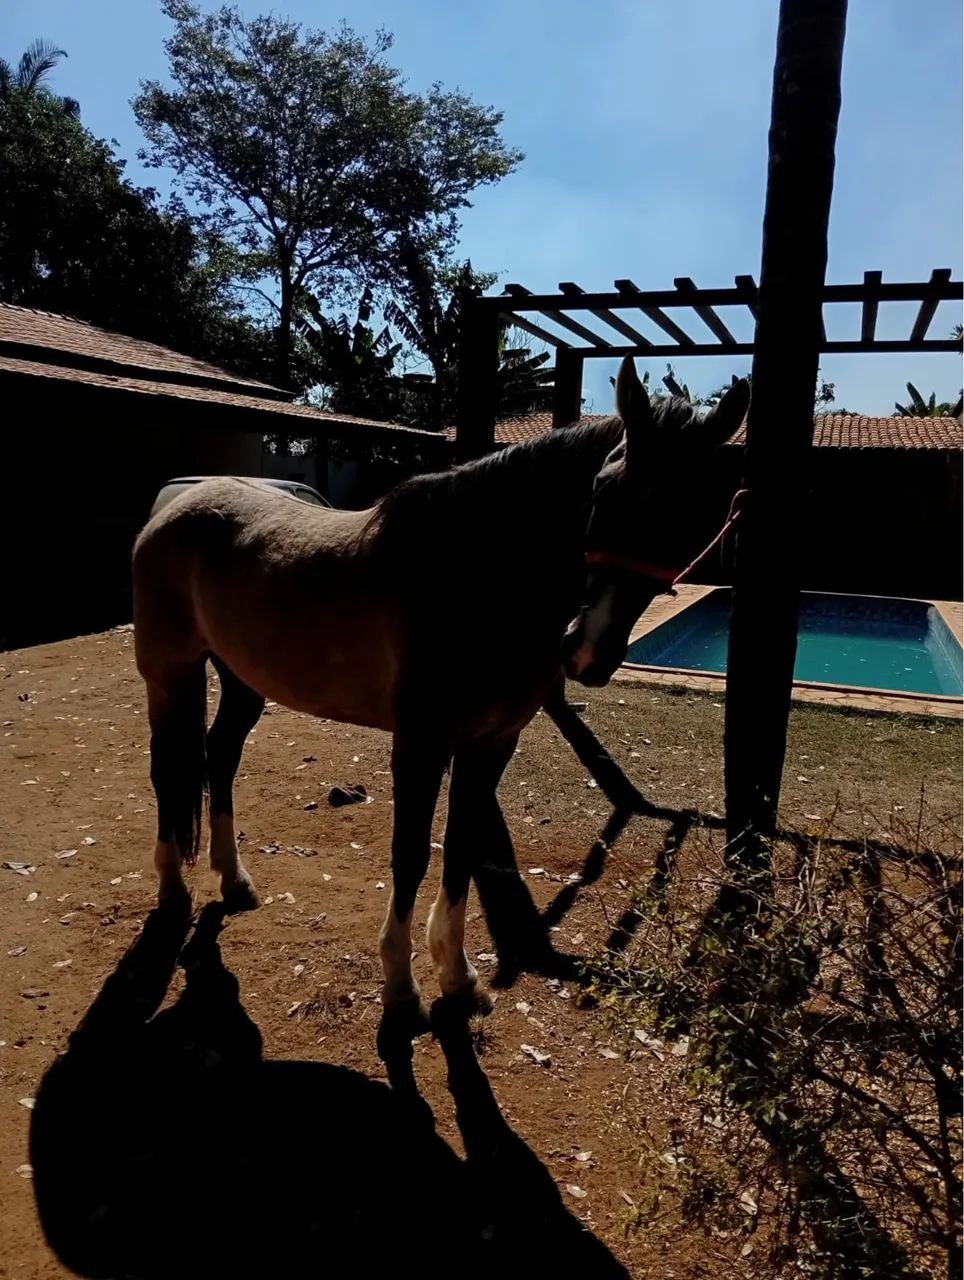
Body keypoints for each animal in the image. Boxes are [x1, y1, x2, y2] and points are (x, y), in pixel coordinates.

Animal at [132, 357, 749, 1029]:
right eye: (602, 491)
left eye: (694, 514)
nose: (588, 652)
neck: (472, 575)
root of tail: (175, 506)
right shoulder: (421, 745)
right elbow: (411, 855)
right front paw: (400, 986)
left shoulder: (491, 743)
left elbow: (461, 849)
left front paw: (457, 976)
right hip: (169, 675)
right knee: (168, 771)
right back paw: (172, 889)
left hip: (243, 681)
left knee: (219, 756)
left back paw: (233, 880)